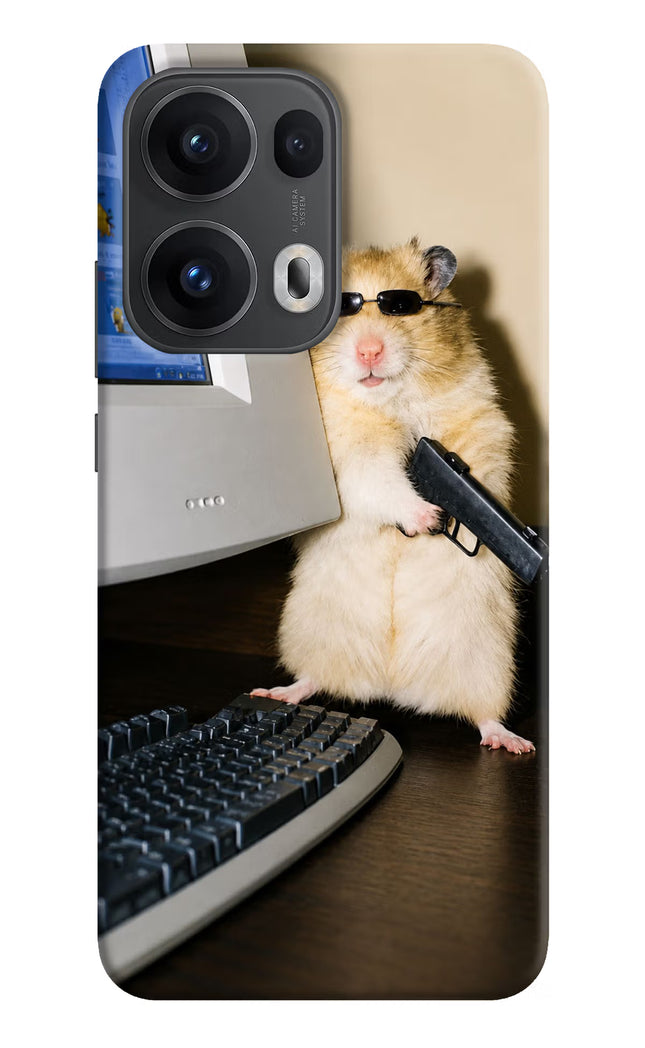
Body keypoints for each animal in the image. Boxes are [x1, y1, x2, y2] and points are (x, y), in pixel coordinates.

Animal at [252, 239, 534, 754]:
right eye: (342, 309)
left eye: (401, 307)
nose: (369, 351)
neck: (388, 401)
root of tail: (392, 686)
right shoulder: (348, 458)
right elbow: (380, 481)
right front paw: (428, 518)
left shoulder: (481, 423)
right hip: (310, 632)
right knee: (313, 678)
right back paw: (276, 692)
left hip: (488, 661)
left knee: (484, 714)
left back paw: (513, 742)